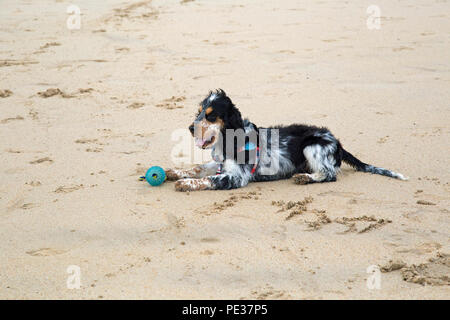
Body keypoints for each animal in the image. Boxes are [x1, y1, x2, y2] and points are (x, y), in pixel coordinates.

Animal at [166, 89, 408, 191]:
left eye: (211, 115)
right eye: (198, 112)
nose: (190, 128)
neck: (230, 140)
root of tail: (337, 142)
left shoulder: (237, 177)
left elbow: (210, 179)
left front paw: (185, 184)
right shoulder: (220, 163)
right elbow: (199, 168)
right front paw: (174, 172)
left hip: (312, 146)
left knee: (330, 174)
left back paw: (304, 178)